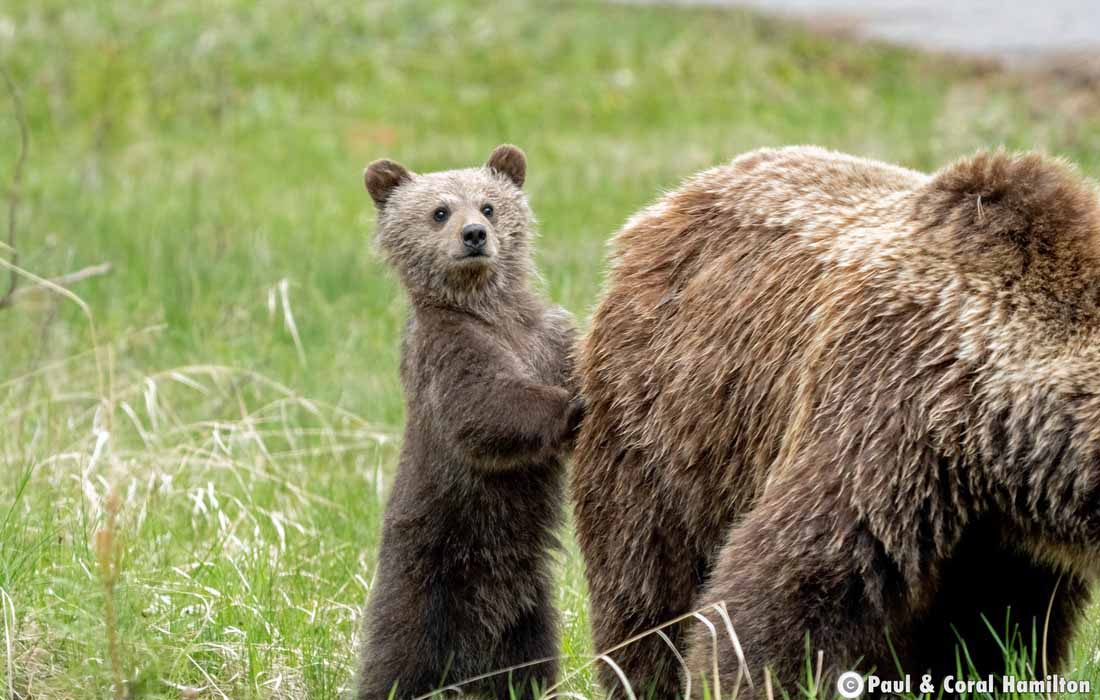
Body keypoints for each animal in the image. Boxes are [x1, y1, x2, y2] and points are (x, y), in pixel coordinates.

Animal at [572, 146, 1100, 695]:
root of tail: (666, 204)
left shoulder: (1002, 544)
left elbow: (999, 635)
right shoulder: (884, 415)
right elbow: (783, 589)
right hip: (666, 431)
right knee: (647, 584)